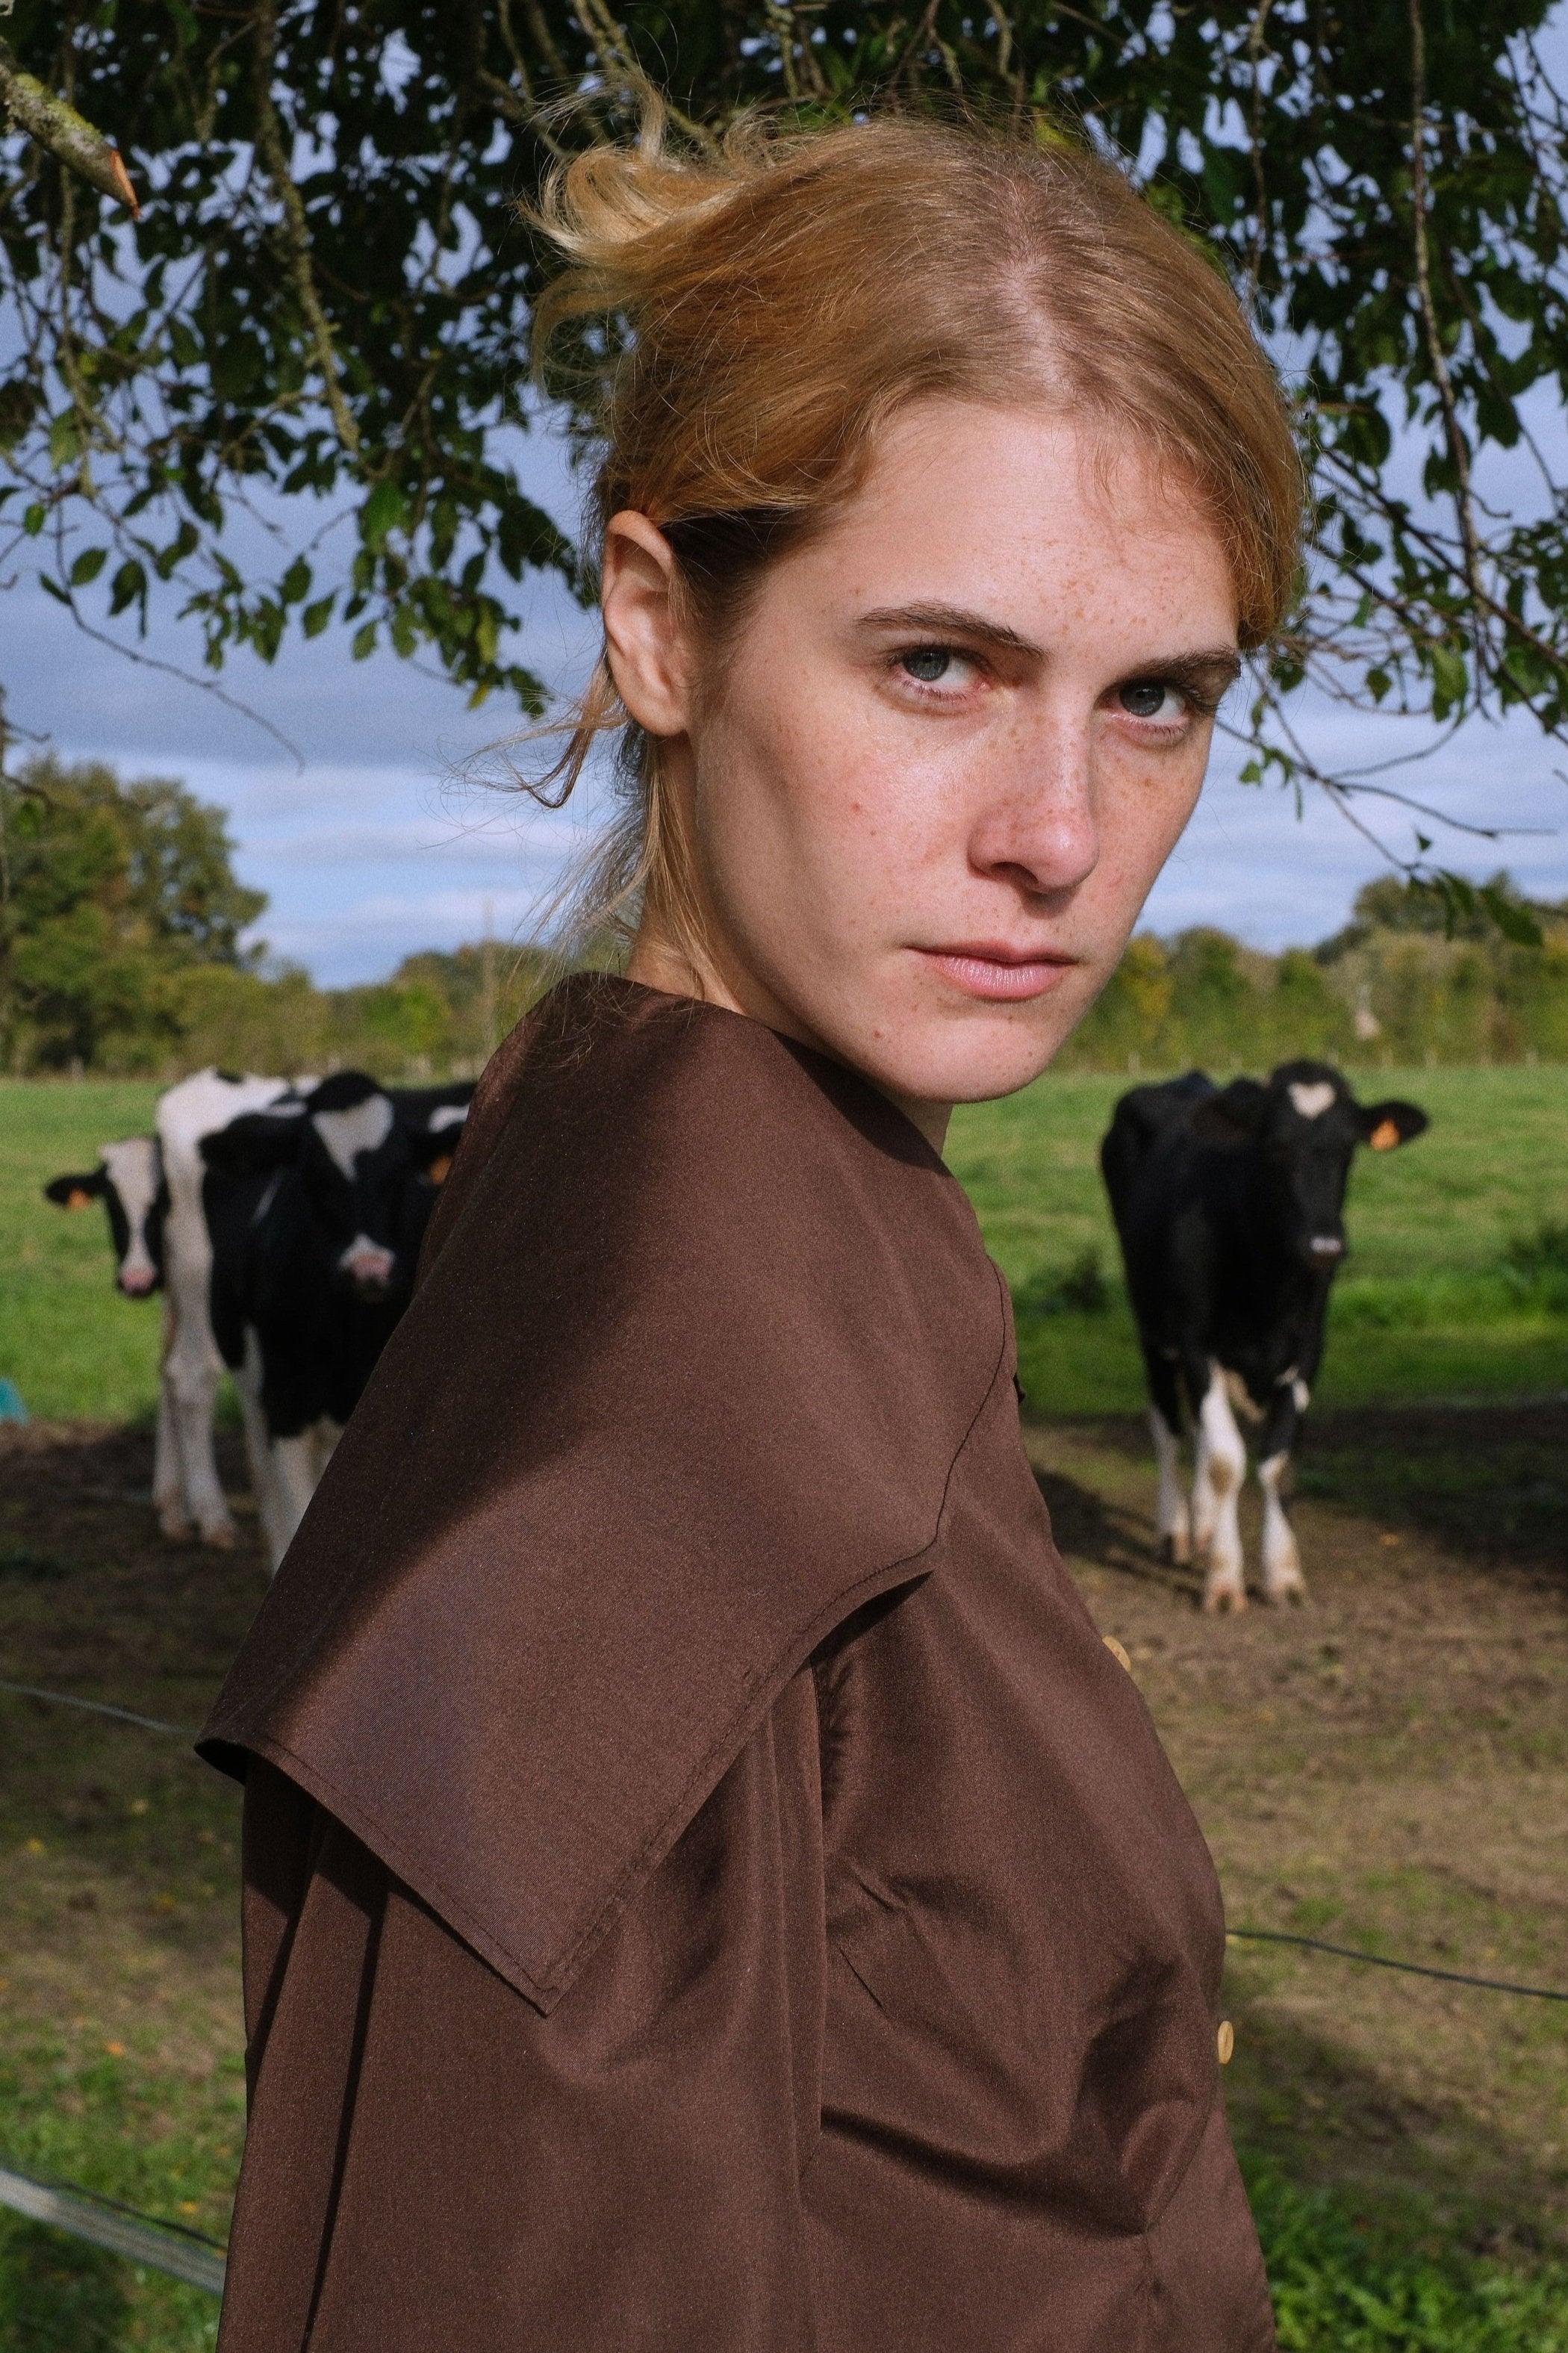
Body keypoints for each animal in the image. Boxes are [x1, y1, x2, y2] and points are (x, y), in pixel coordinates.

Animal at [1092, 1072, 1422, 1609]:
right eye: (1275, 1147)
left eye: (1347, 1148)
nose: (1324, 1246)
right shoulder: (1196, 1345)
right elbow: (1228, 1462)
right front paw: (1225, 1581)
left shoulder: (1307, 1352)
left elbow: (1277, 1463)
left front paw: (1282, 1573)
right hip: (1152, 1328)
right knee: (1169, 1429)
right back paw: (1175, 1532)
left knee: (1200, 1433)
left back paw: (1204, 1526)